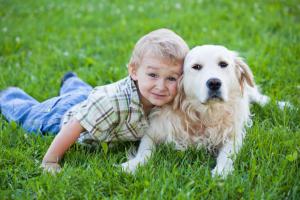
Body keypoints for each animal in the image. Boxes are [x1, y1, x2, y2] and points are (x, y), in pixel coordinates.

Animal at [119, 44, 270, 177]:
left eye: (223, 64)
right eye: (196, 67)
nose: (214, 83)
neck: (205, 114)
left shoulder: (233, 135)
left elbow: (226, 154)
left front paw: (221, 171)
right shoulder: (153, 132)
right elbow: (145, 151)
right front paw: (132, 165)